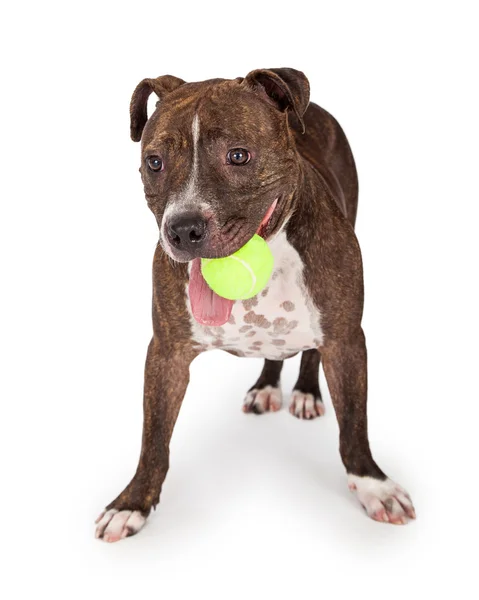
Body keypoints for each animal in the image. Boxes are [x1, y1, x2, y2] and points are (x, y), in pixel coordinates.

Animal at [94, 68, 416, 540]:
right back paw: (267, 385)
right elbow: (153, 438)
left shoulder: (346, 339)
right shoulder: (167, 352)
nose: (183, 228)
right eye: (154, 162)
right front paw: (132, 503)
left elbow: (355, 425)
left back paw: (304, 392)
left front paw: (374, 485)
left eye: (239, 155)